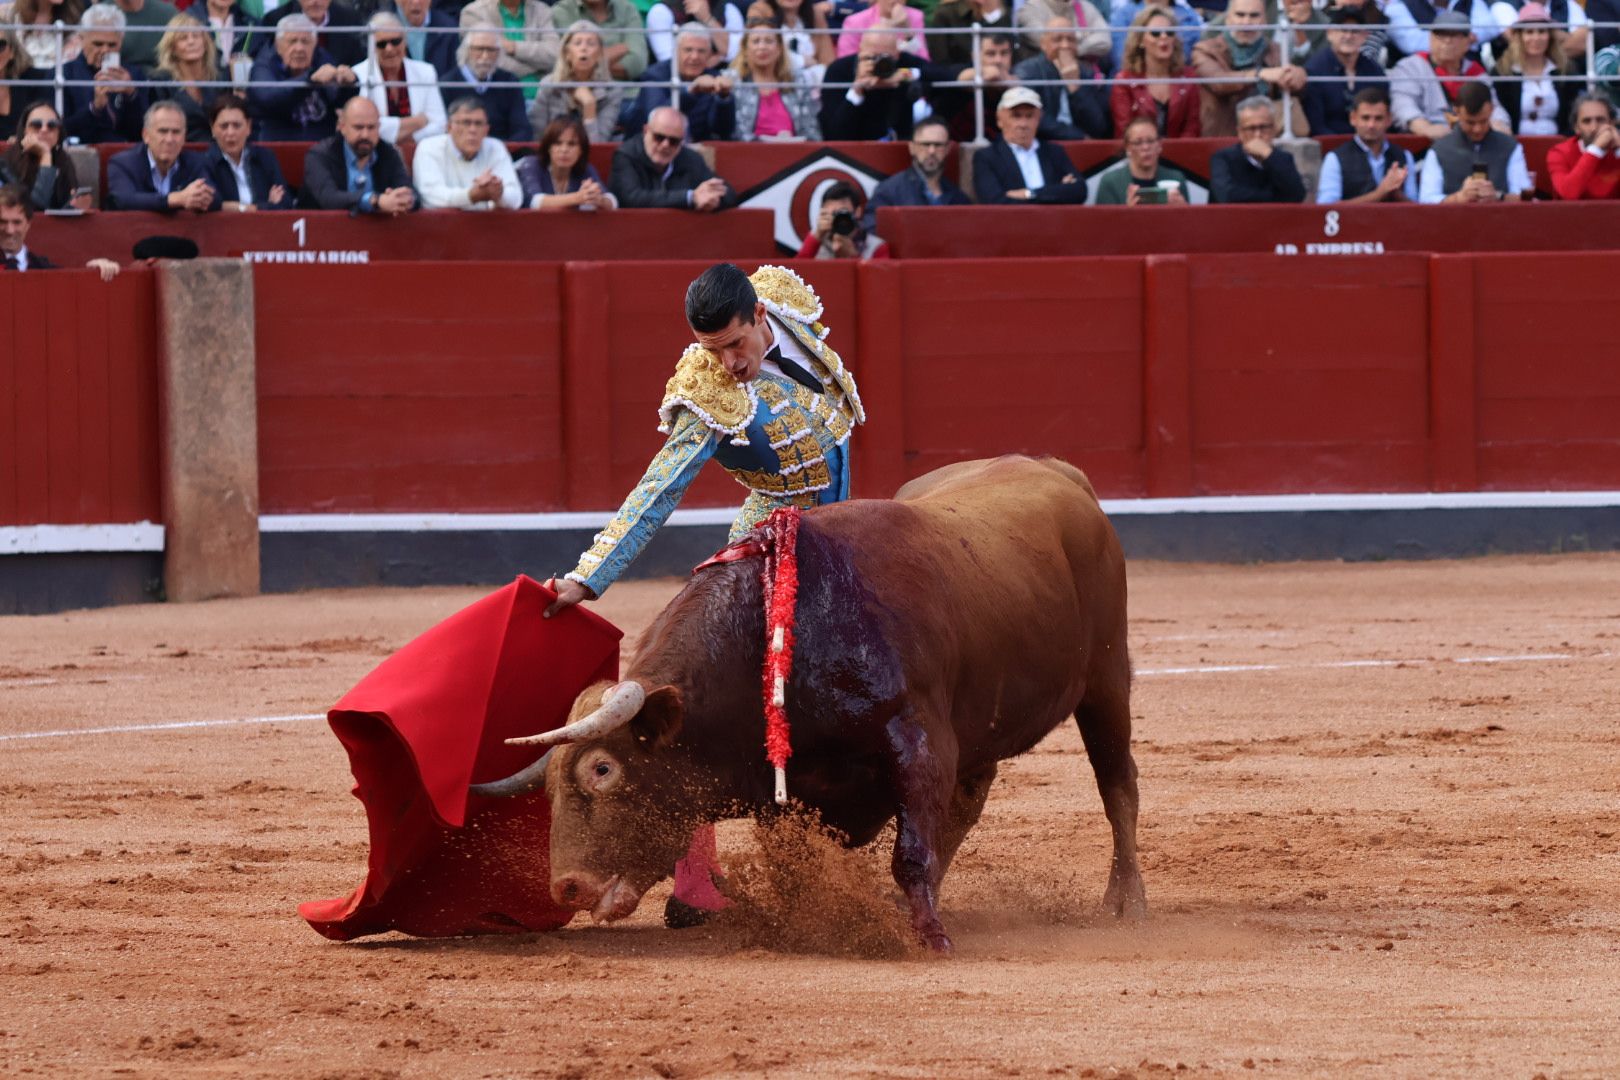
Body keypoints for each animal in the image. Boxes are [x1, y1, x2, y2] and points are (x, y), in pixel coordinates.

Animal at [473, 456, 1146, 952]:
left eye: (604, 769)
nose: (566, 887)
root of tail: (1058, 471)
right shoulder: (784, 784)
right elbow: (796, 863)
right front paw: (824, 925)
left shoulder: (919, 740)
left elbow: (911, 849)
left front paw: (928, 938)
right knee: (967, 806)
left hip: (1108, 678)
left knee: (1117, 784)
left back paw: (1125, 903)